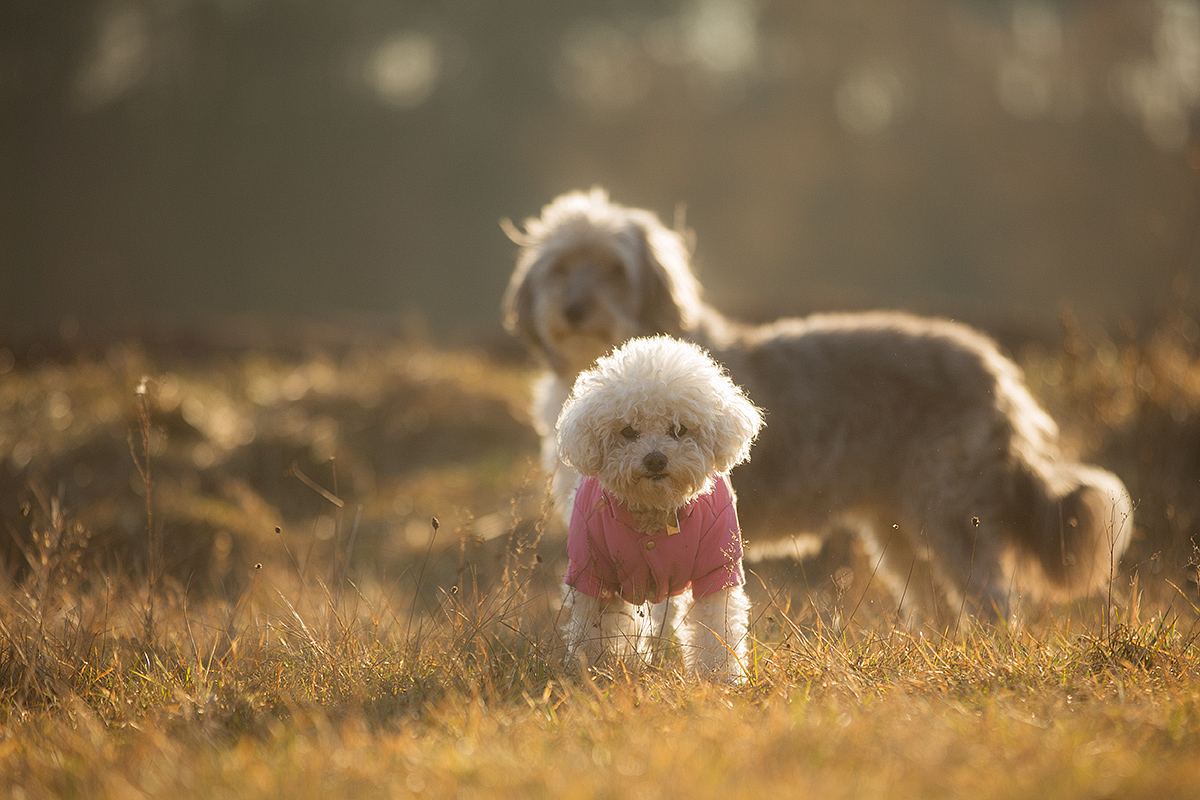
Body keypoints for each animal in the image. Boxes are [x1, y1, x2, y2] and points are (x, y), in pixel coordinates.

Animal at [506, 188, 1132, 623]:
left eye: (616, 268)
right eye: (560, 267)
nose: (574, 309)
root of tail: (998, 369)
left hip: (953, 514)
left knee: (992, 602)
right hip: (897, 527)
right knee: (941, 608)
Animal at [556, 335, 763, 681]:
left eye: (679, 429)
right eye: (628, 431)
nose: (655, 459)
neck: (655, 510)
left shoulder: (717, 568)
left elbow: (716, 631)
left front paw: (719, 678)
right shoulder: (591, 570)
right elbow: (593, 630)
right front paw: (594, 672)